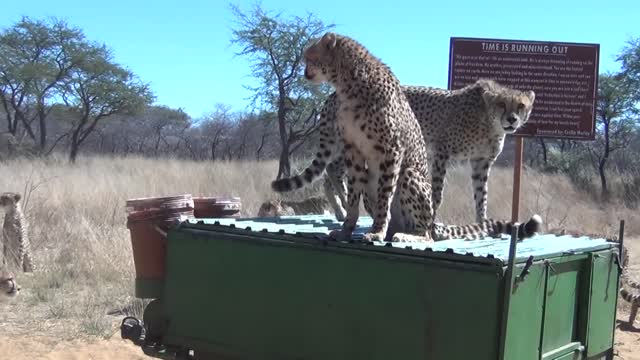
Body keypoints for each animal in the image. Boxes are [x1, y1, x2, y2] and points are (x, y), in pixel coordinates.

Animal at [274, 80, 536, 224]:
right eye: (502, 105)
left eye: (520, 105)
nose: (511, 119)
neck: (488, 122)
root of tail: (333, 93)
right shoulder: (441, 153)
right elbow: (437, 192)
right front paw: (433, 218)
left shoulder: (481, 162)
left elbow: (482, 196)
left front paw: (482, 223)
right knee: (332, 172)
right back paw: (345, 207)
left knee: (329, 174)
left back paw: (340, 210)